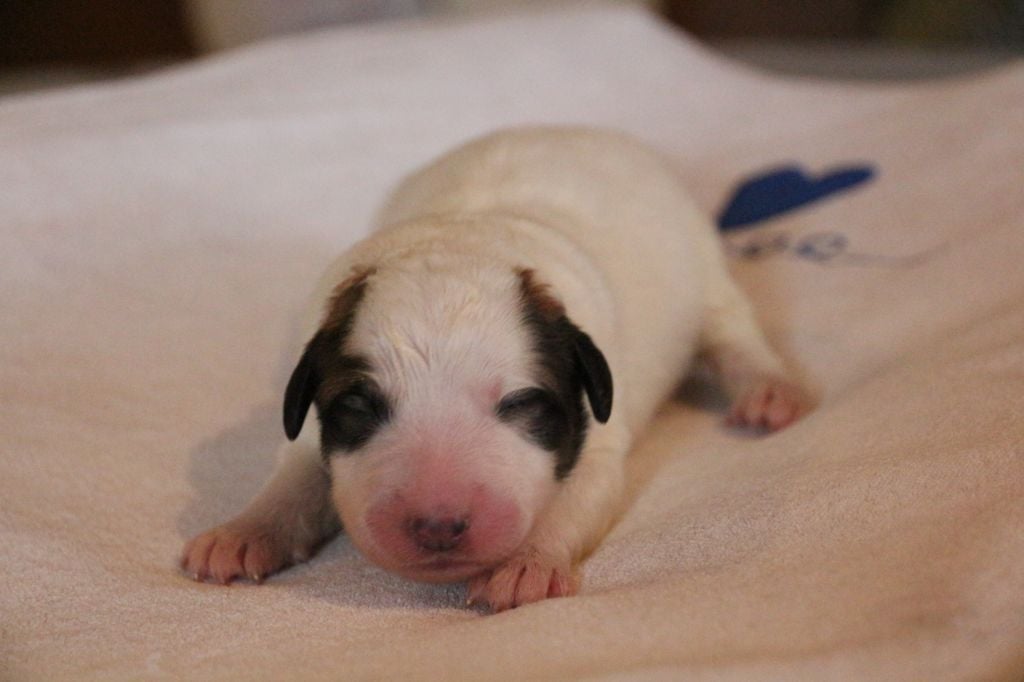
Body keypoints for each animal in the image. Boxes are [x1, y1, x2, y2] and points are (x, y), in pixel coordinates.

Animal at [182, 127, 806, 610]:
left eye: (520, 403)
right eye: (357, 406)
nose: (437, 525)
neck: (462, 233)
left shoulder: (600, 439)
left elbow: (575, 501)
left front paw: (525, 565)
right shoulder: (309, 426)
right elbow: (292, 477)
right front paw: (243, 531)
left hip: (703, 267)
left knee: (732, 329)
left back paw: (767, 391)